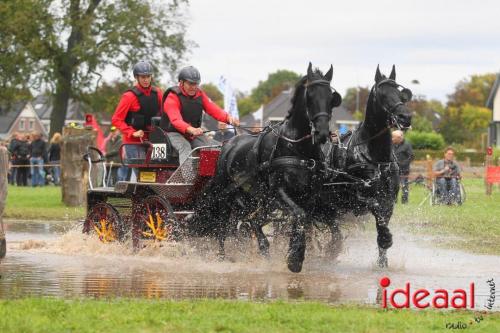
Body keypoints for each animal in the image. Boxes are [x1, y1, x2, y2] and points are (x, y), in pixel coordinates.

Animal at [191, 63, 340, 272]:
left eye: (331, 97)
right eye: (310, 96)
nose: (322, 133)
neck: (296, 147)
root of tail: (228, 144)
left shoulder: (309, 195)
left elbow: (307, 220)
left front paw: (302, 252)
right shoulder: (279, 191)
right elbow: (300, 216)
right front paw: (295, 259)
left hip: (253, 198)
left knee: (249, 221)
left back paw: (260, 248)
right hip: (227, 195)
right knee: (223, 225)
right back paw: (222, 256)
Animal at [318, 65, 412, 268]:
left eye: (400, 93)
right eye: (382, 94)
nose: (406, 117)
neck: (376, 159)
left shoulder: (389, 200)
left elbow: (382, 222)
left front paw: (383, 261)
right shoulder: (357, 198)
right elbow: (376, 209)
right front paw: (386, 238)